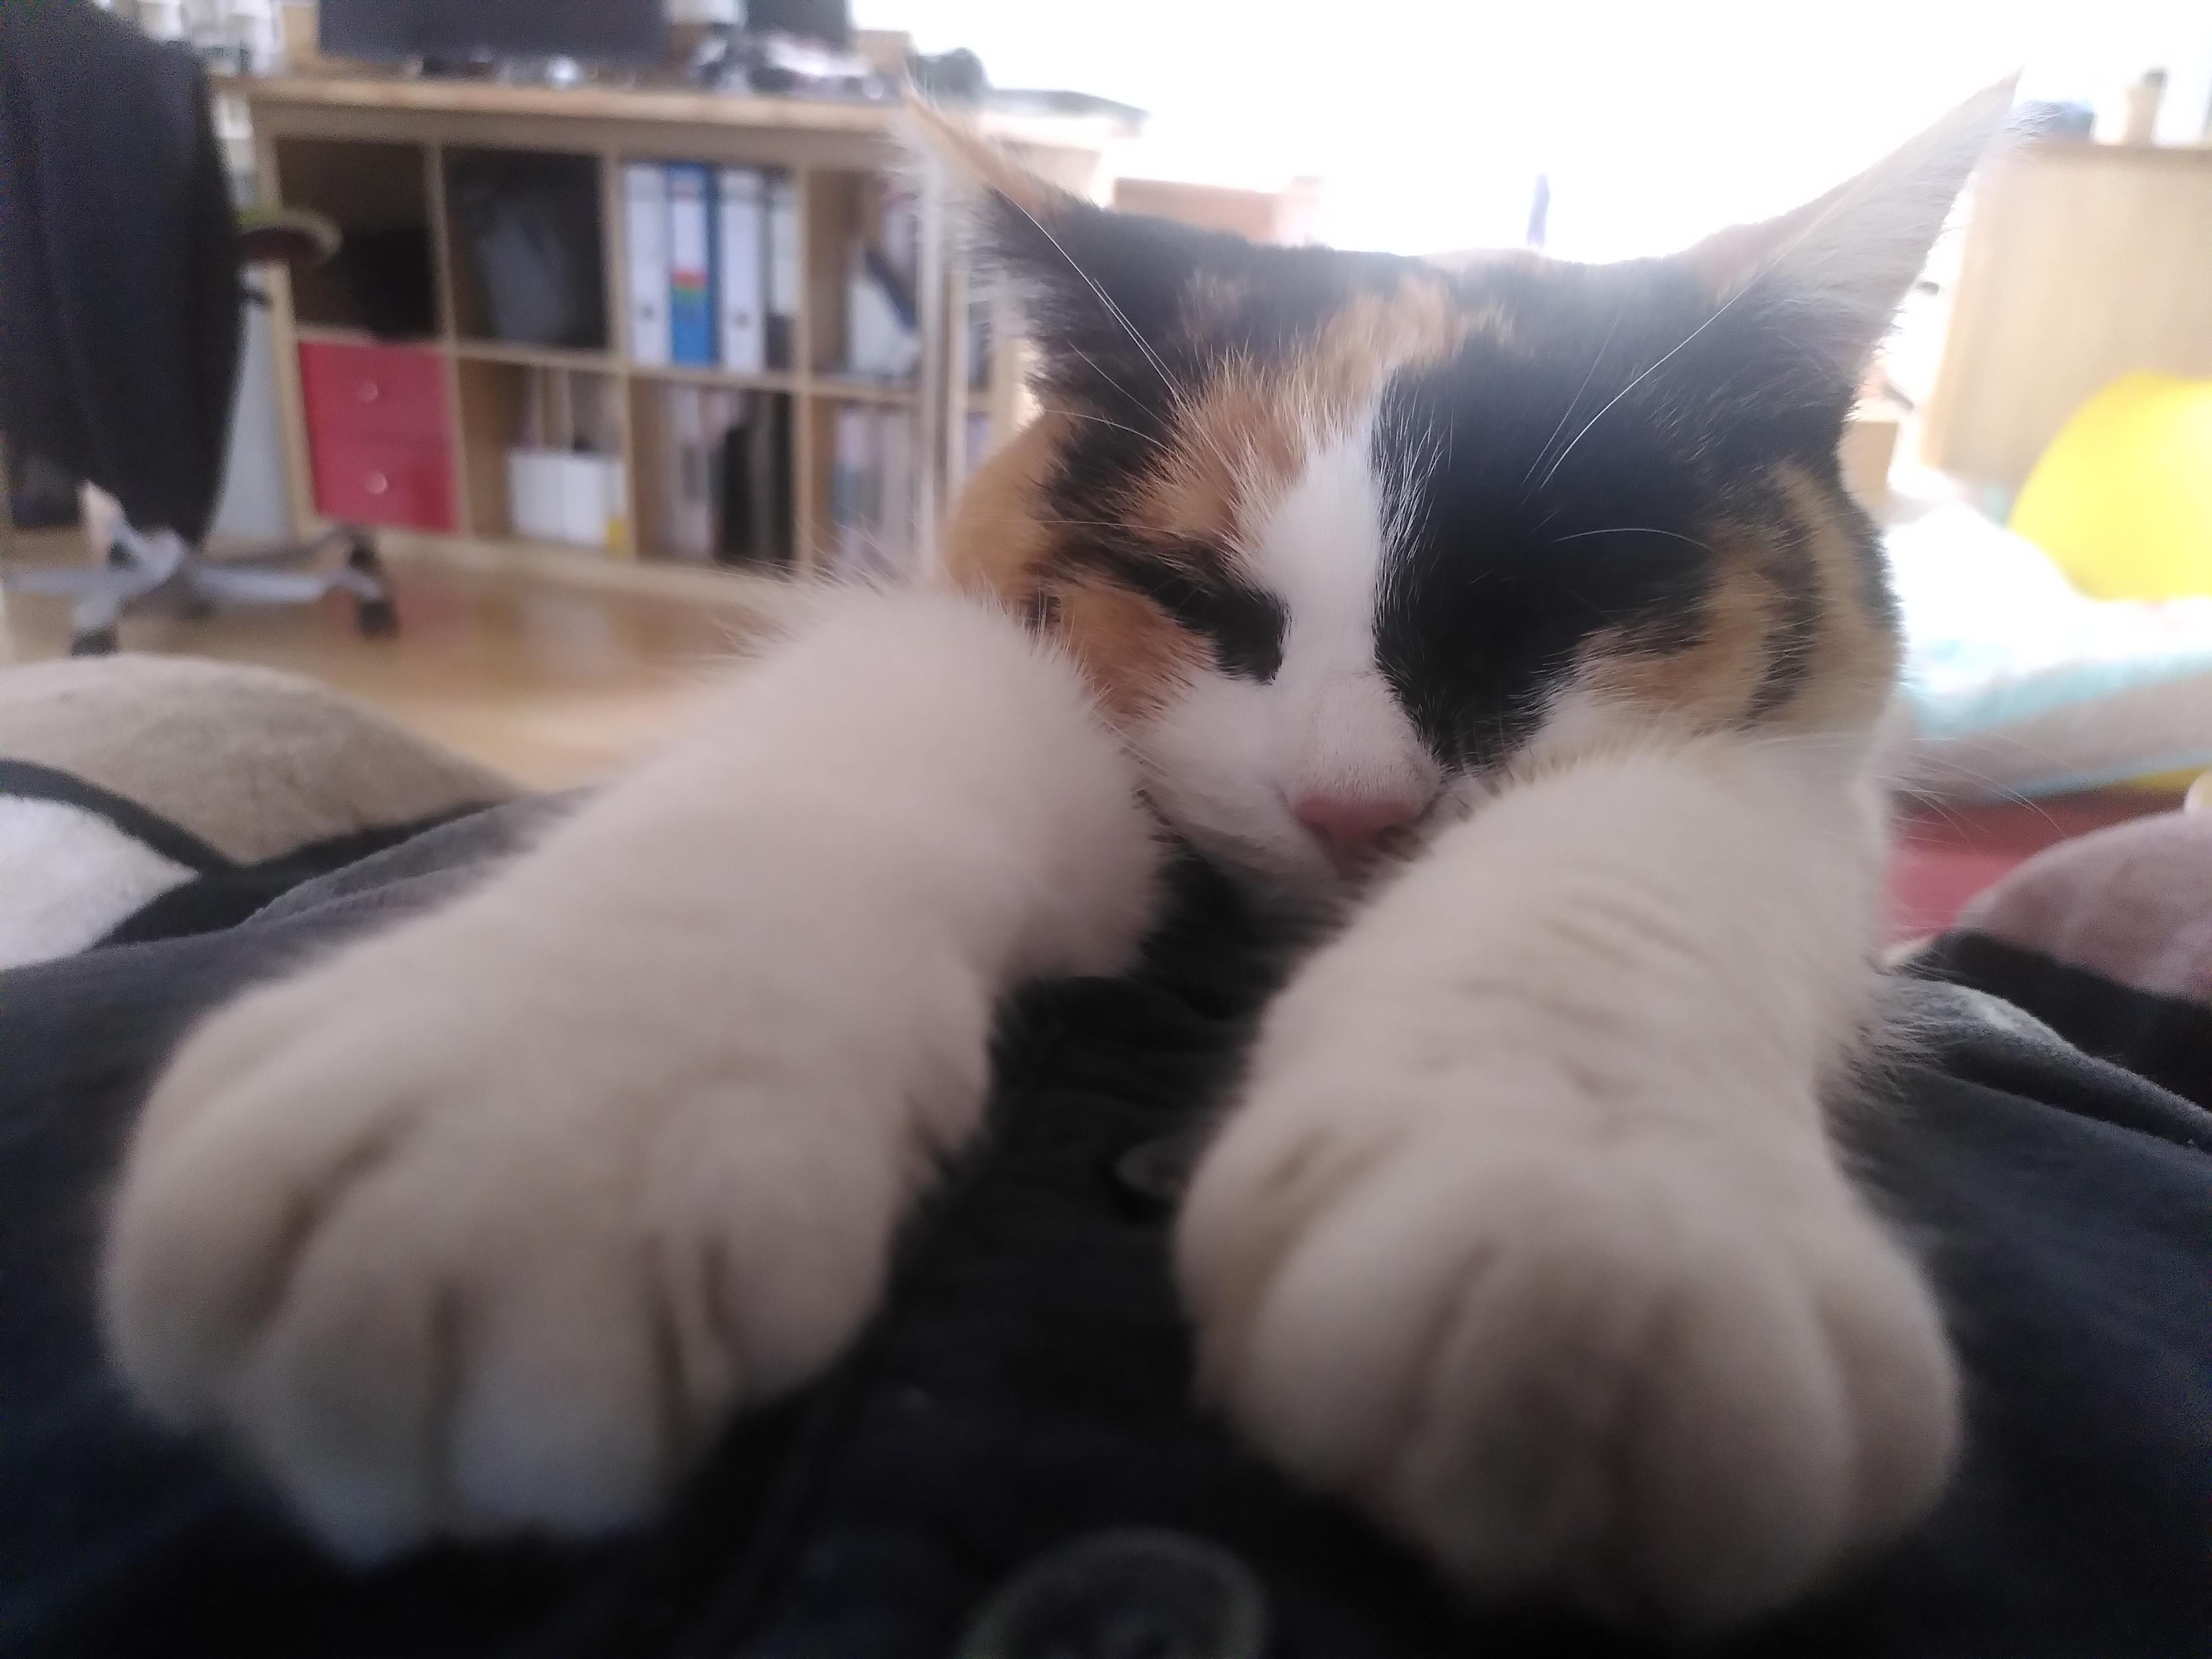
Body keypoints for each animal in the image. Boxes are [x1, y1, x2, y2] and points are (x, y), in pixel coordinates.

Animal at [99, 84, 2010, 1632]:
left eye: (1541, 612)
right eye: (1197, 604)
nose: (1350, 809)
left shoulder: (1776, 791)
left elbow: (1619, 860)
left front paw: (1576, 1238)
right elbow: (899, 716)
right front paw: (533, 1107)